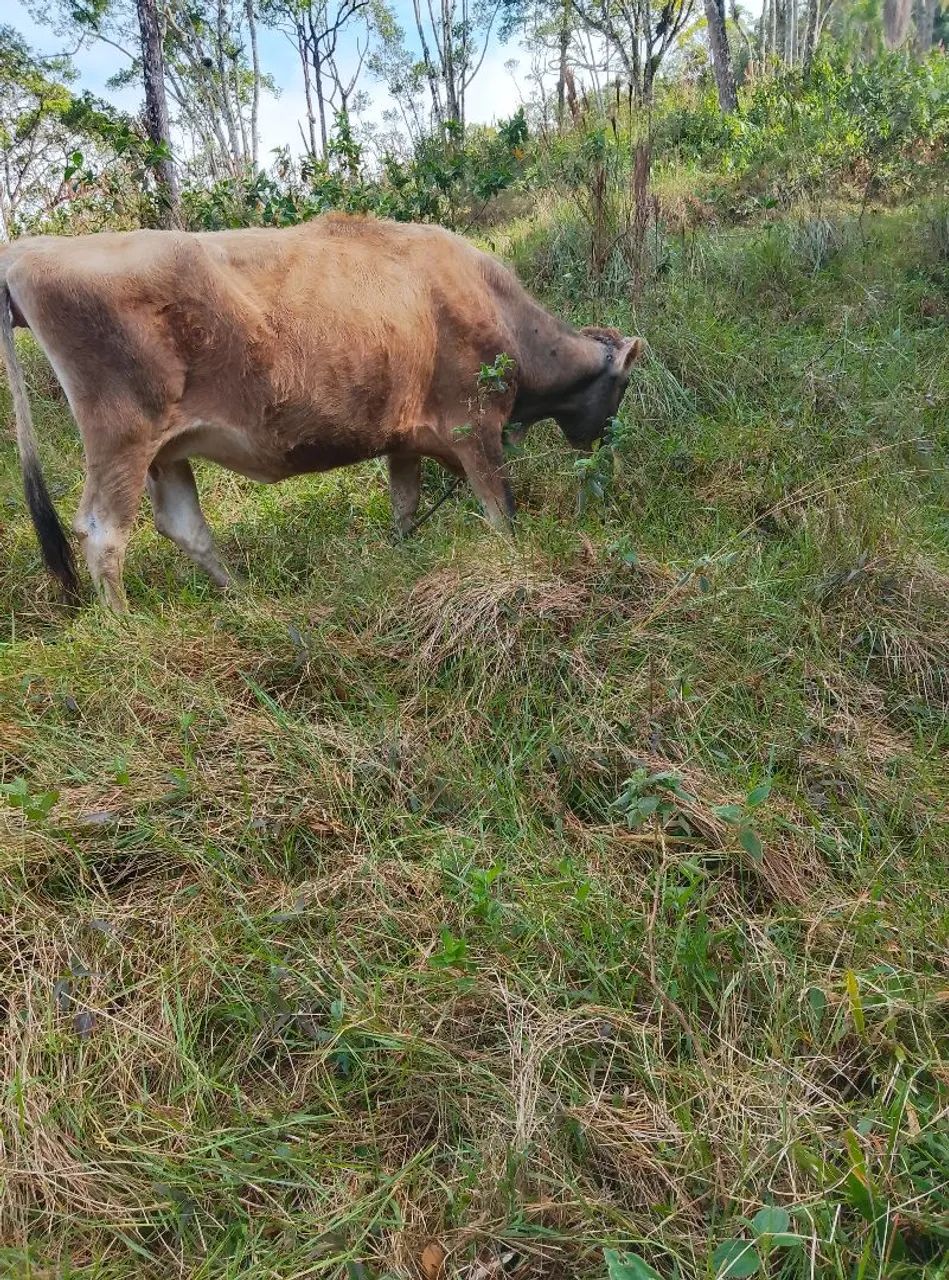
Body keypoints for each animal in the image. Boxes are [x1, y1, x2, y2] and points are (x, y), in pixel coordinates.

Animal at [1, 214, 643, 609]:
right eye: (622, 388)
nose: (603, 441)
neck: (499, 311)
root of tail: (27, 250)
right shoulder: (474, 428)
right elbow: (501, 513)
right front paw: (517, 566)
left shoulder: (404, 441)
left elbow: (405, 508)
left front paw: (403, 559)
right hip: (121, 438)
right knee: (103, 533)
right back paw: (125, 624)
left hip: (165, 452)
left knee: (184, 525)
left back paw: (244, 599)